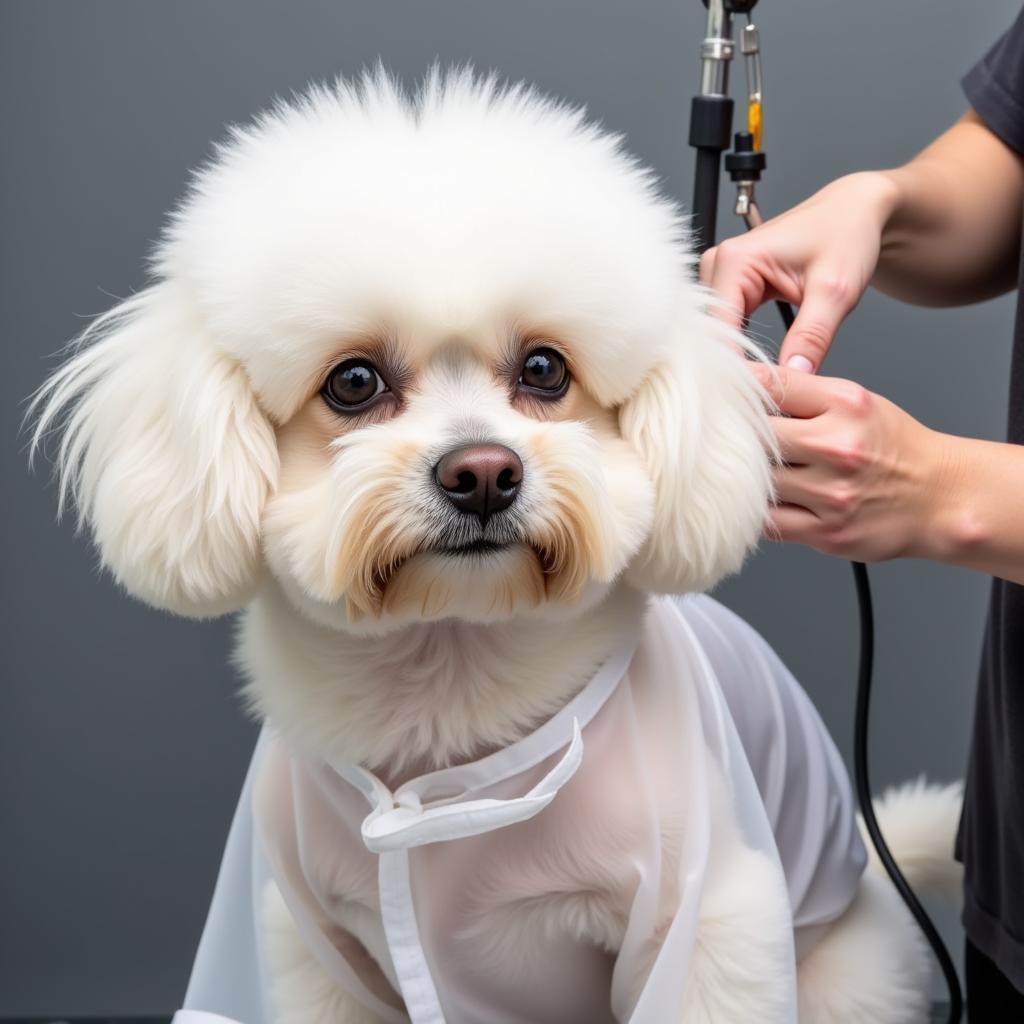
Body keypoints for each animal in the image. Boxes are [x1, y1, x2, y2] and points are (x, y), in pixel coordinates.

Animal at [34, 68, 958, 1019]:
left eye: (545, 369)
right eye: (354, 382)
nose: (481, 473)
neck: (449, 673)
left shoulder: (707, 913)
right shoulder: (315, 945)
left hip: (843, 972)